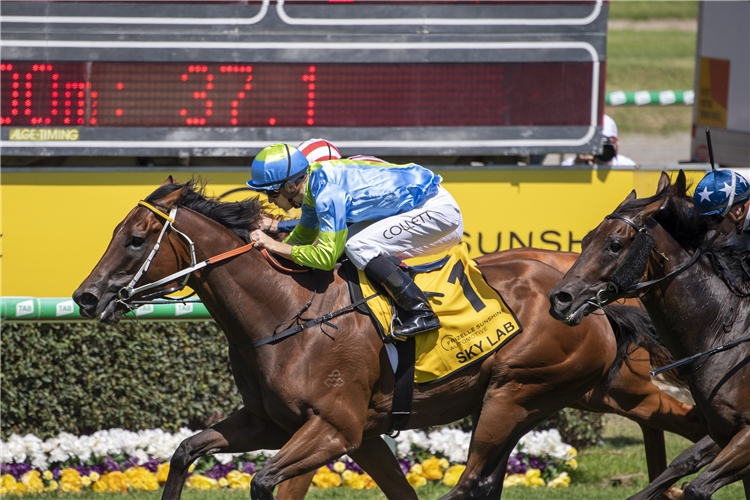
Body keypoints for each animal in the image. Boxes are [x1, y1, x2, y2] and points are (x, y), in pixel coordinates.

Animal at [75, 181, 700, 500]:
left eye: (135, 239)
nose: (85, 297)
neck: (286, 314)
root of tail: (587, 301)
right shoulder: (289, 425)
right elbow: (184, 451)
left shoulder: (334, 426)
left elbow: (267, 480)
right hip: (598, 390)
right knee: (691, 422)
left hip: (514, 392)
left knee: (472, 481)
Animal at [548, 170, 750, 498]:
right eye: (587, 238)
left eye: (615, 244)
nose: (559, 299)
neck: (724, 338)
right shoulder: (723, 431)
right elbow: (680, 465)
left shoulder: (744, 435)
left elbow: (697, 486)